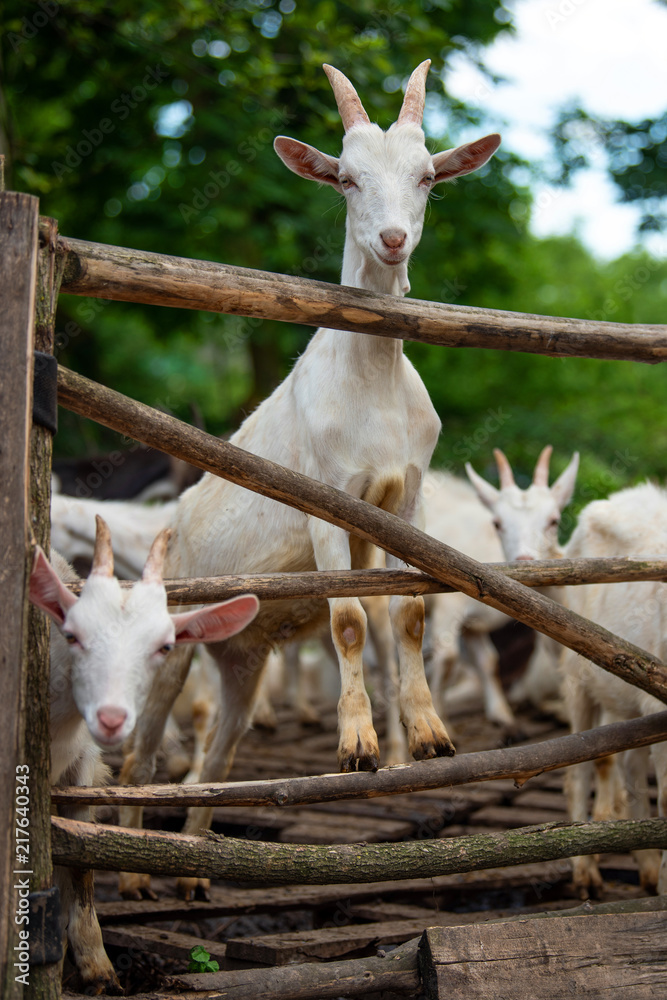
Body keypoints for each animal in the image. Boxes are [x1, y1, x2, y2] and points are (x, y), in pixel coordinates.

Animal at [29, 516, 258, 992]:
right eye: (72, 635)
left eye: (164, 646)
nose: (112, 717)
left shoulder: (81, 767)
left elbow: (80, 862)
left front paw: (96, 968)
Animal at [116, 56, 500, 900]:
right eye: (346, 179)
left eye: (427, 177)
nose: (391, 240)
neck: (373, 379)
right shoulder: (328, 500)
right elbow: (350, 620)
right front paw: (358, 746)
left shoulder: (406, 498)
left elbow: (406, 616)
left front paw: (428, 735)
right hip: (173, 638)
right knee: (142, 750)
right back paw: (129, 877)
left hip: (242, 655)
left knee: (220, 753)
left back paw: (192, 874)